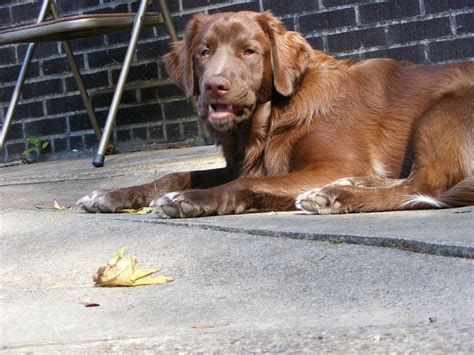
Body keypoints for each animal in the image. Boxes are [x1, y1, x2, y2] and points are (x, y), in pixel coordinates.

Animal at [76, 10, 472, 217]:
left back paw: (337, 195)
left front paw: (189, 200)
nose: (214, 86)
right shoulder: (241, 163)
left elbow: (245, 183)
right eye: (204, 52)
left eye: (249, 51)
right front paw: (111, 195)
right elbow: (177, 174)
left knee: (427, 184)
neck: (271, 121)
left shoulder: (334, 164)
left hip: (443, 109)